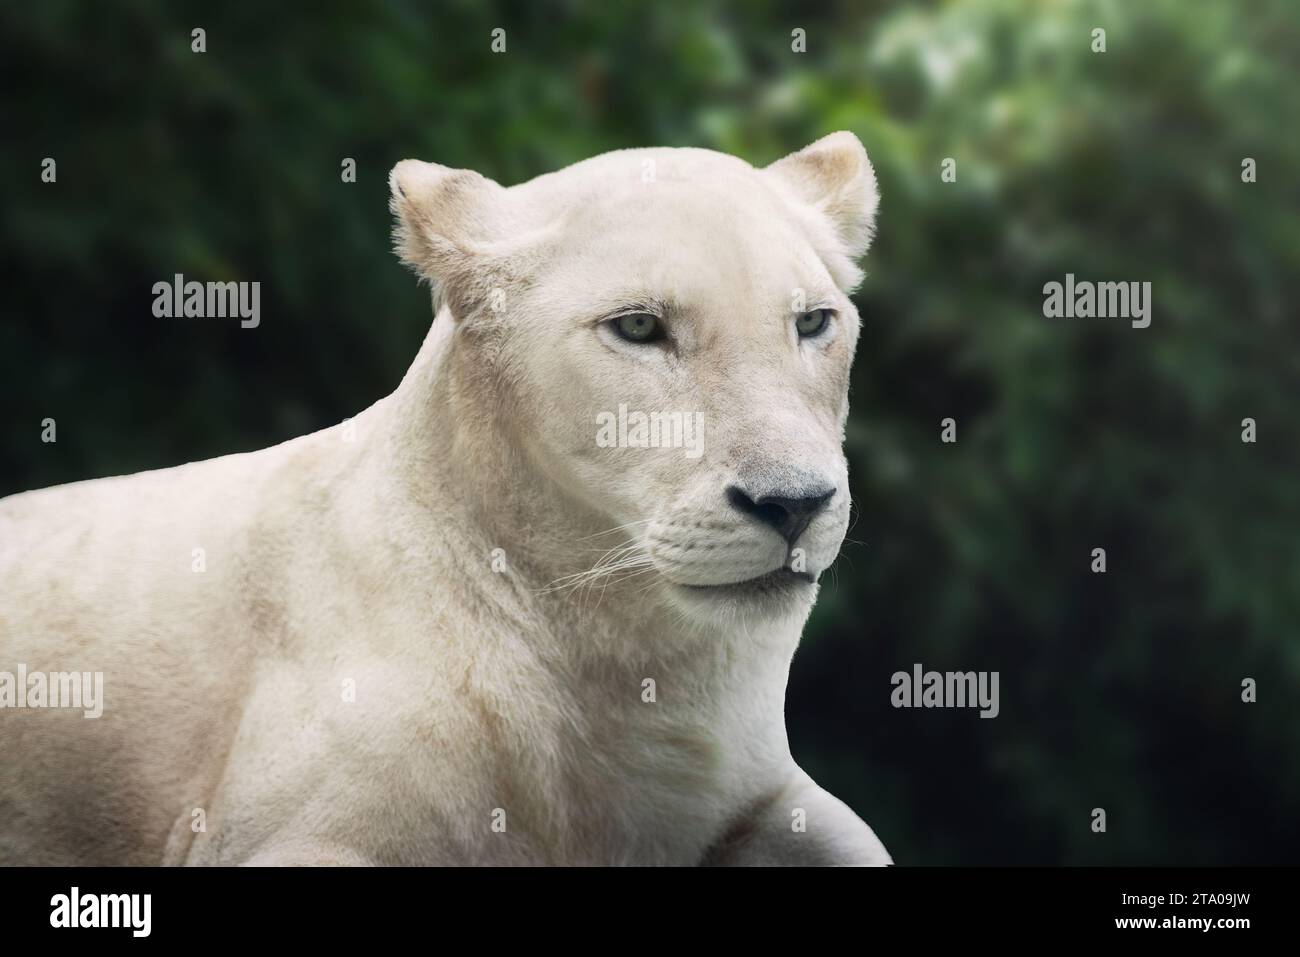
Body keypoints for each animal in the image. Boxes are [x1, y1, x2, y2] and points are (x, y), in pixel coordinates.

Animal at [0, 132, 890, 865]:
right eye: (639, 328)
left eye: (813, 322)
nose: (795, 503)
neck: (627, 659)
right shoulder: (270, 831)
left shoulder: (772, 791)